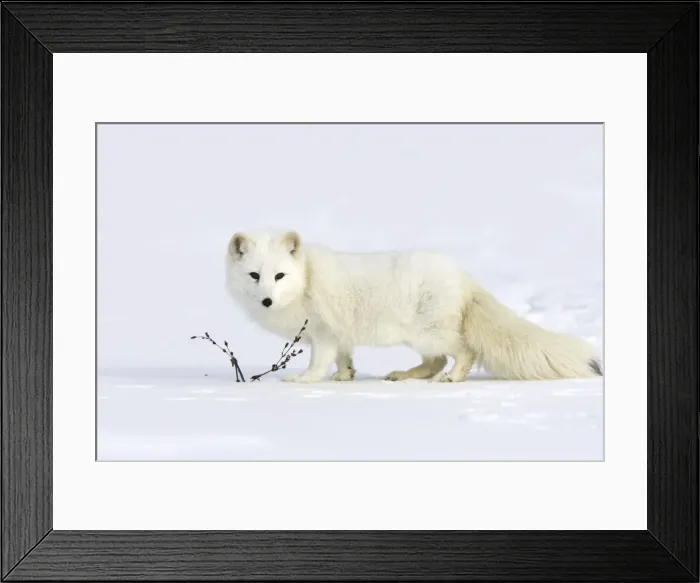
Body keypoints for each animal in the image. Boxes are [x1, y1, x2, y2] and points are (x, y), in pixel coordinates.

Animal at [225, 230, 603, 383]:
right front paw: (345, 376)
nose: (267, 300)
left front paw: (303, 381)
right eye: (255, 275)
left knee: (462, 353)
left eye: (280, 275)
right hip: (420, 337)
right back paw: (403, 375)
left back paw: (452, 378)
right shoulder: (340, 336)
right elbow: (346, 359)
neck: (306, 280)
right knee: (435, 361)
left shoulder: (323, 335)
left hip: (429, 333)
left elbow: (318, 364)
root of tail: (463, 276)